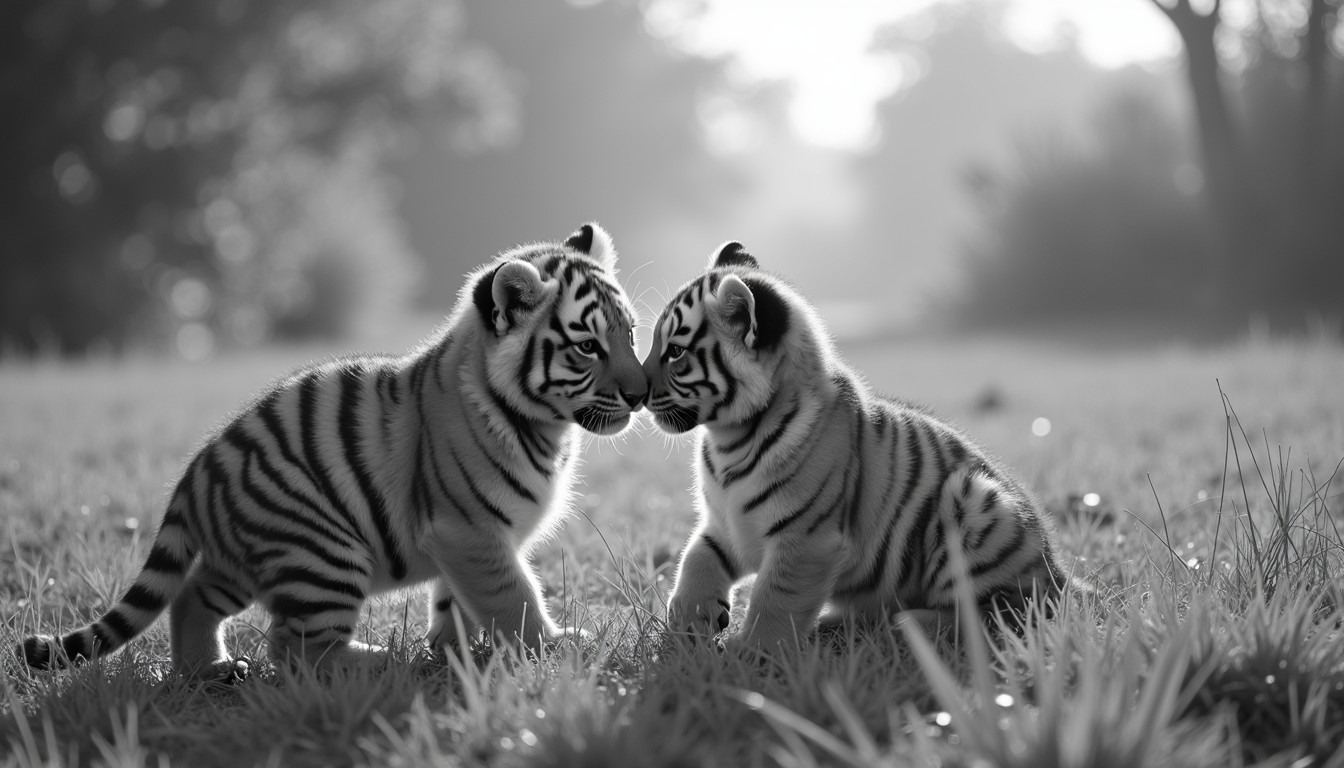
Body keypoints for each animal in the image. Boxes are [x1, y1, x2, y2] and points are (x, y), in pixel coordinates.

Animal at [18, 223, 647, 680]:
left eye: (630, 334)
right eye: (587, 347)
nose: (640, 395)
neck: (545, 426)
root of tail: (199, 469)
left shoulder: (465, 540)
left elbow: (458, 603)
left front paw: (457, 655)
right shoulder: (467, 529)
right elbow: (512, 597)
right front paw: (555, 649)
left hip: (242, 560)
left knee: (191, 597)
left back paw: (212, 670)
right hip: (322, 551)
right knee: (296, 649)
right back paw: (379, 663)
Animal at [643, 241, 1074, 651]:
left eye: (675, 351)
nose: (638, 392)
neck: (729, 437)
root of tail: (1060, 574)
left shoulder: (806, 539)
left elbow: (775, 598)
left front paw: (749, 653)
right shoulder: (722, 525)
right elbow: (694, 562)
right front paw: (683, 632)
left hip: (975, 502)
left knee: (1002, 614)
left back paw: (906, 625)